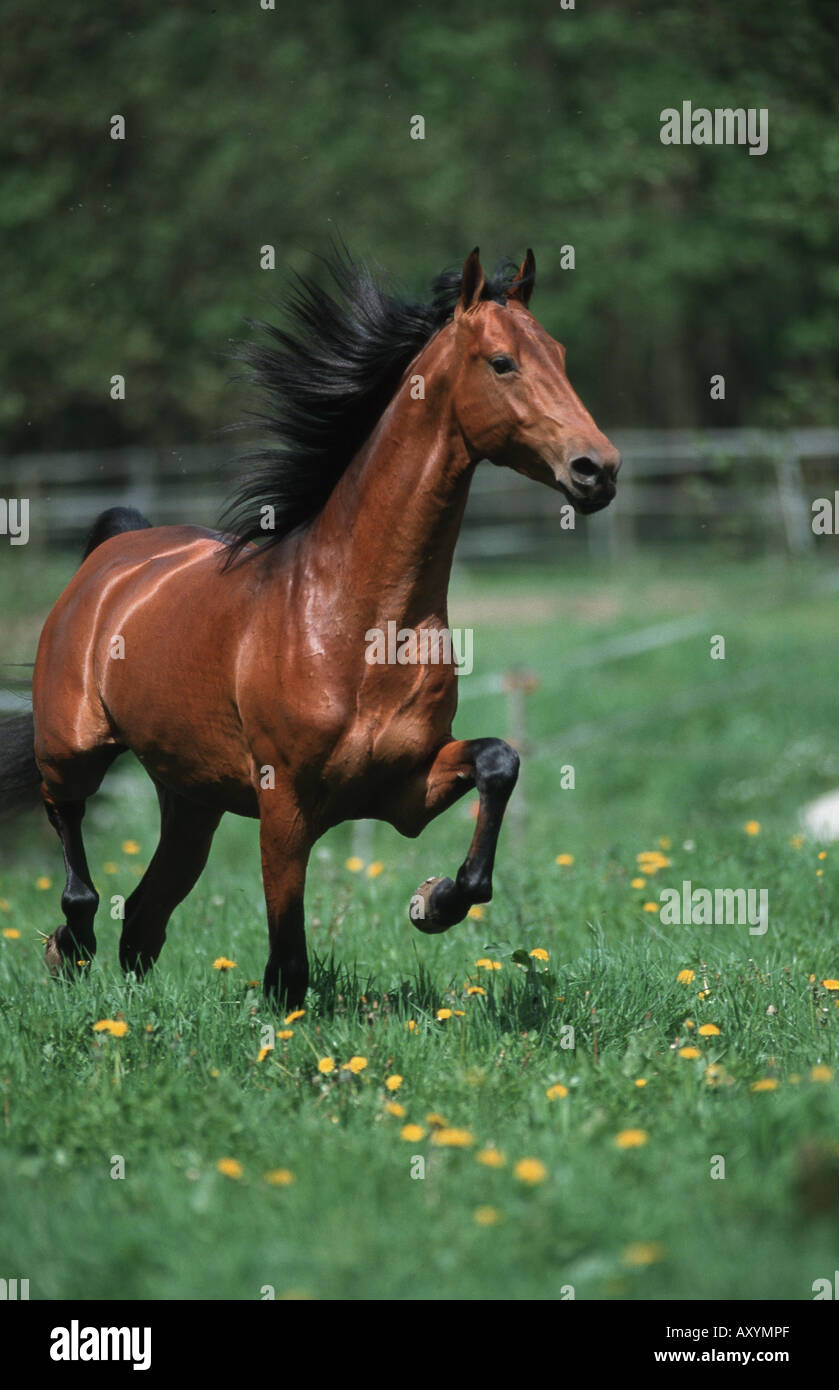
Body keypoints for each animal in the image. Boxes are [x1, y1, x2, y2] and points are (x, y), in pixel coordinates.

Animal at [0, 252, 616, 1011]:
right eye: (502, 362)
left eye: (558, 355)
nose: (598, 469)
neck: (356, 622)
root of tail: (115, 551)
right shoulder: (284, 804)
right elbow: (287, 959)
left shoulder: (405, 785)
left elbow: (499, 761)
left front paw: (432, 900)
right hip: (75, 748)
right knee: (73, 845)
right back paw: (68, 947)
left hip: (192, 803)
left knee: (144, 917)